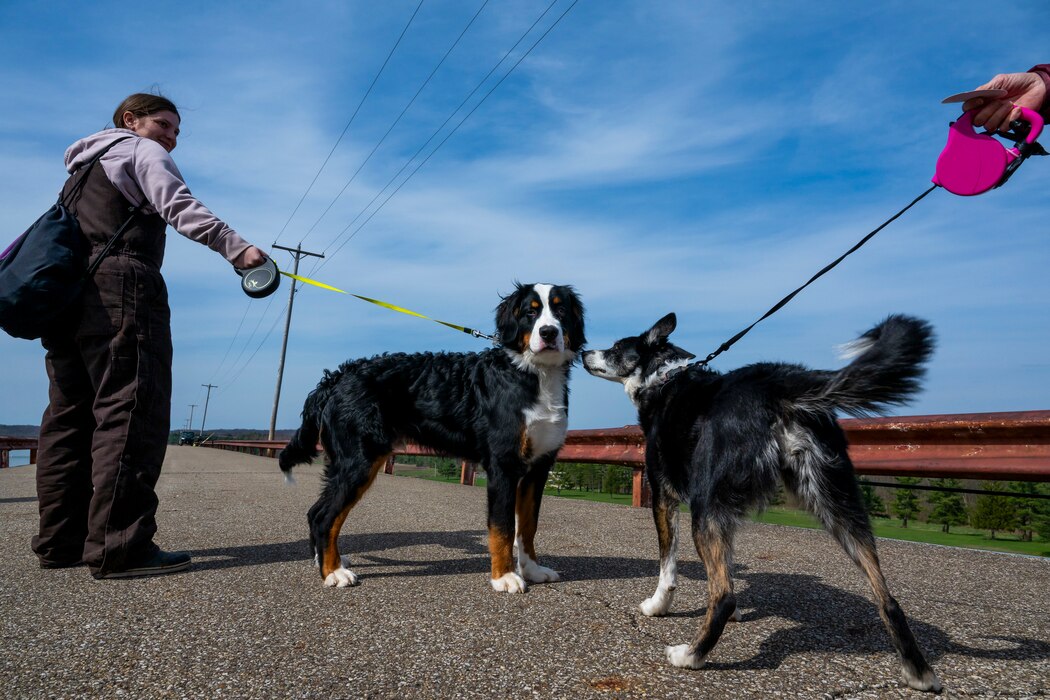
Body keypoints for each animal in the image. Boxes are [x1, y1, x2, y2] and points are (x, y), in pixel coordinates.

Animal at [279, 281, 588, 596]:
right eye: (530, 312)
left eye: (561, 310)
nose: (548, 332)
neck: (534, 374)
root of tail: (338, 377)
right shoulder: (503, 464)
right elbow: (503, 527)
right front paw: (504, 577)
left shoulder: (538, 467)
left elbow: (527, 527)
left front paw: (533, 570)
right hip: (358, 462)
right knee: (323, 516)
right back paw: (333, 572)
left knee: (318, 514)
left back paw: (326, 562)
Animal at [583, 314, 944, 692]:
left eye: (615, 348)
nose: (583, 352)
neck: (665, 377)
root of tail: (781, 385)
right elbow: (725, 563)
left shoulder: (664, 496)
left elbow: (668, 565)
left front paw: (657, 606)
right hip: (839, 501)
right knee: (888, 600)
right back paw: (920, 673)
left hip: (705, 506)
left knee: (723, 594)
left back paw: (690, 655)